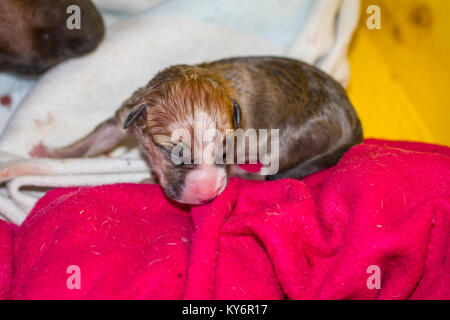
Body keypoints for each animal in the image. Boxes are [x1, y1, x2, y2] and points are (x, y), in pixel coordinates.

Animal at [30, 56, 362, 204]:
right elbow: (95, 140)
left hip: (294, 137)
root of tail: (350, 114)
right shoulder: (124, 117)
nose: (207, 195)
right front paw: (50, 153)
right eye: (171, 152)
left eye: (226, 151)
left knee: (269, 170)